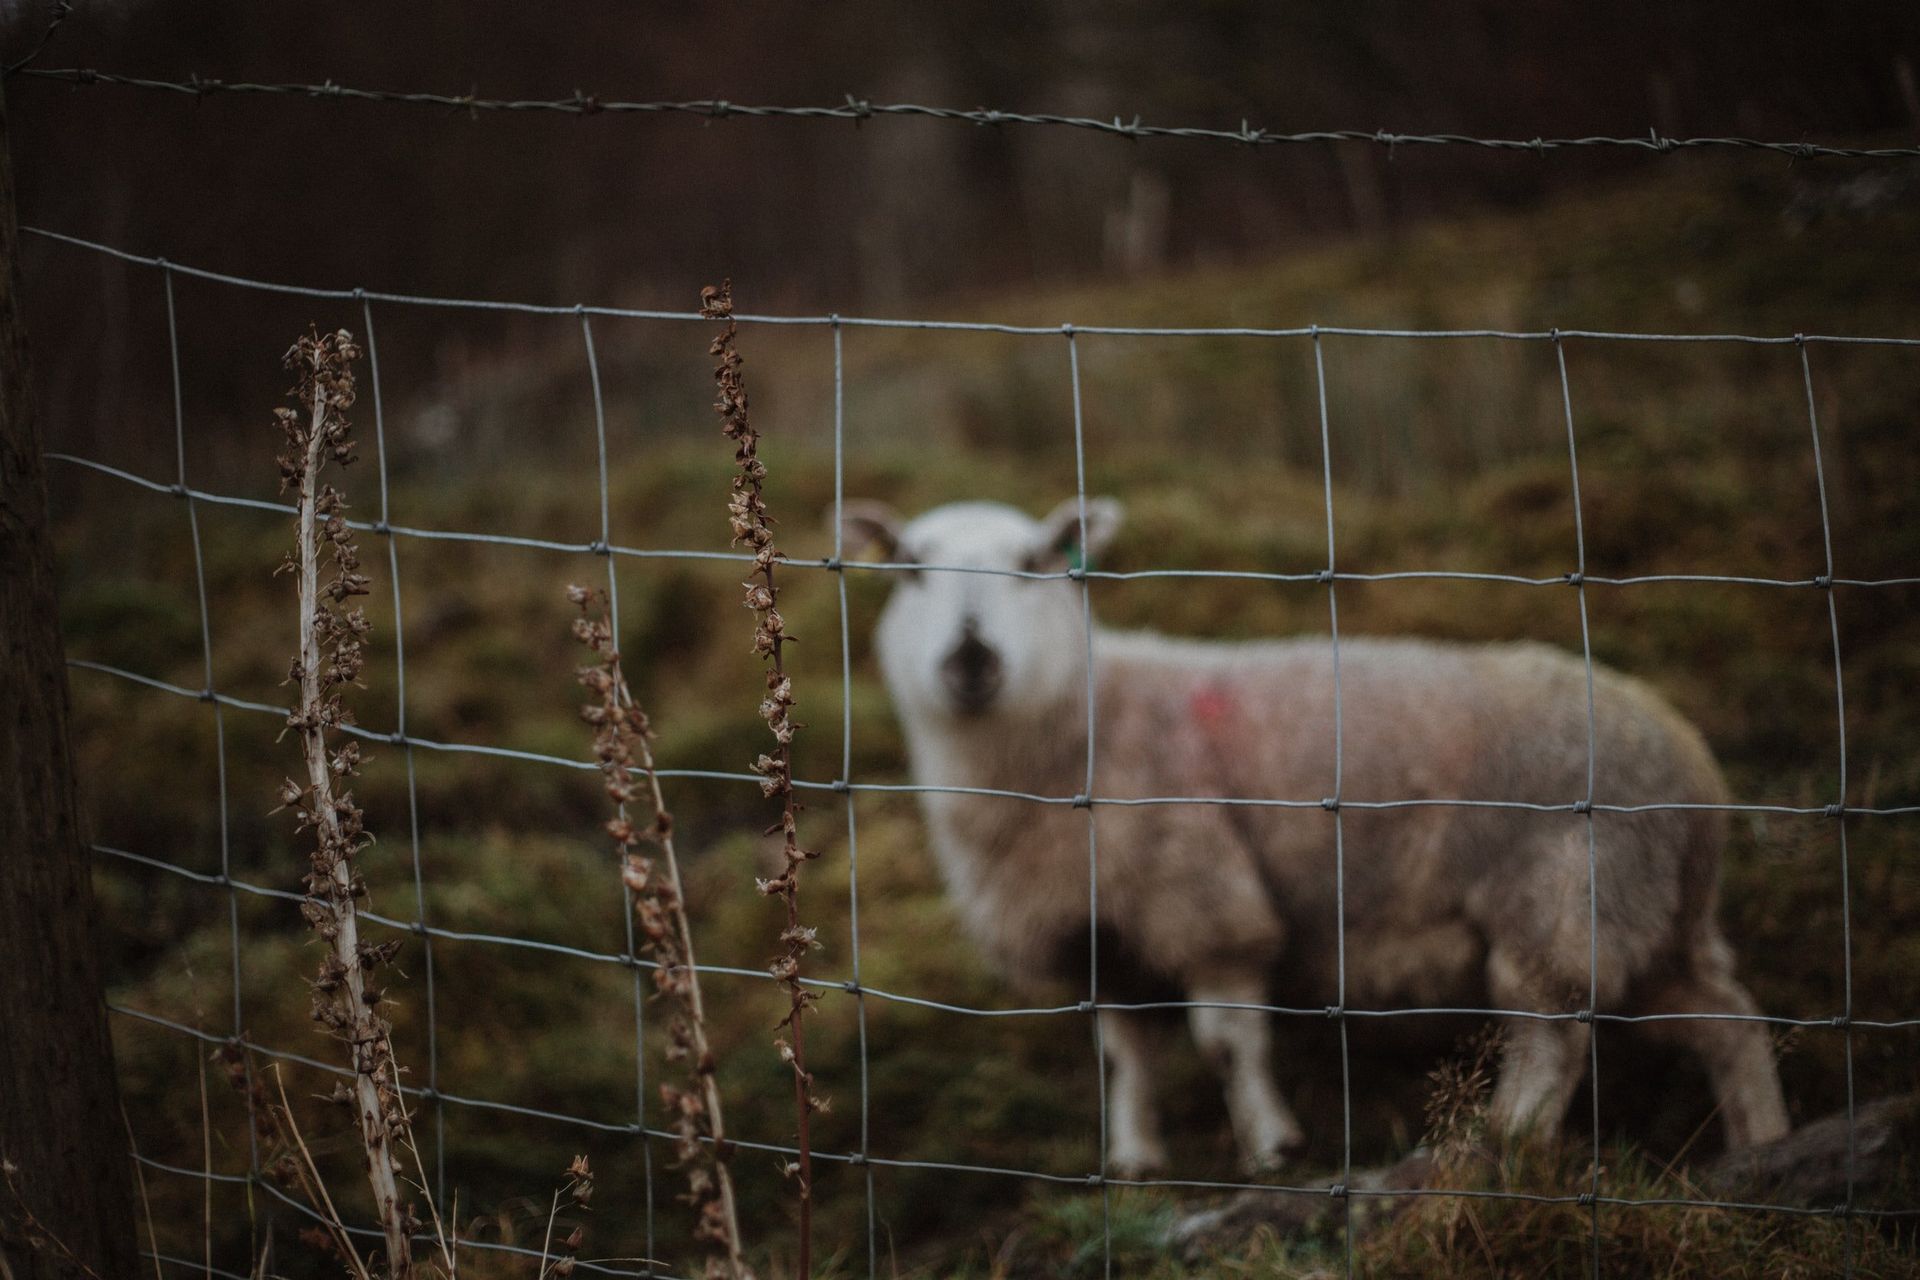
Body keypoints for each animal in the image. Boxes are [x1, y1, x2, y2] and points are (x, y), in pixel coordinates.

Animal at [839, 495, 1790, 1176]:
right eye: (909, 569)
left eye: (1036, 566)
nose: (971, 659)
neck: (1083, 724)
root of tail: (1690, 762)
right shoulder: (1106, 935)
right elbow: (1125, 1060)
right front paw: (1136, 1163)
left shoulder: (1205, 902)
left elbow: (1226, 1045)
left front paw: (1272, 1150)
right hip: (1653, 912)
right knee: (1731, 1021)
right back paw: (1763, 1144)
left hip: (1563, 889)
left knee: (1552, 1032)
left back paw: (1504, 1142)